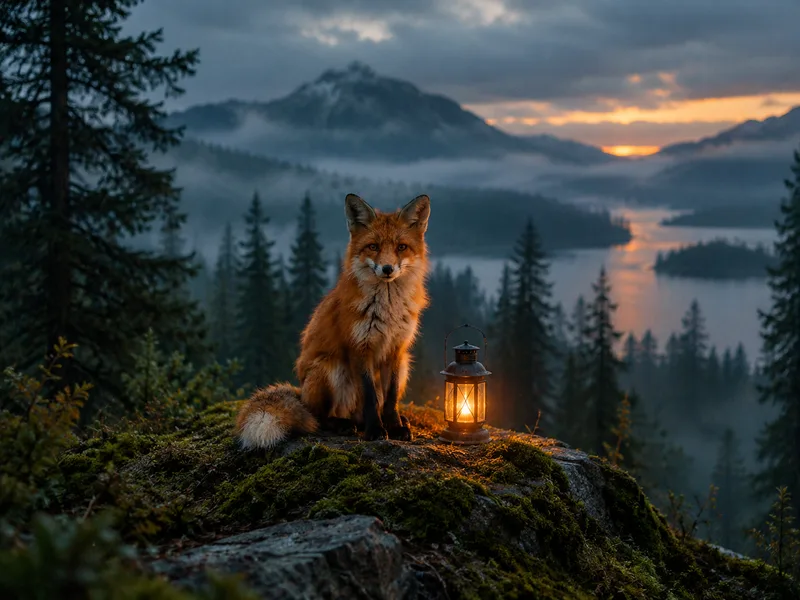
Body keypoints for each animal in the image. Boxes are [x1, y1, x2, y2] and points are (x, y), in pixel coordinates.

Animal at [236, 193, 431, 450]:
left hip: (406, 364)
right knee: (318, 417)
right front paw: (376, 430)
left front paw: (395, 427)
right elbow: (370, 396)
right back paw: (344, 424)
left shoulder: (397, 350)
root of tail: (301, 392)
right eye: (373, 246)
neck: (387, 309)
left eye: (401, 247)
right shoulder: (360, 347)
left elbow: (389, 398)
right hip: (331, 368)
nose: (387, 269)